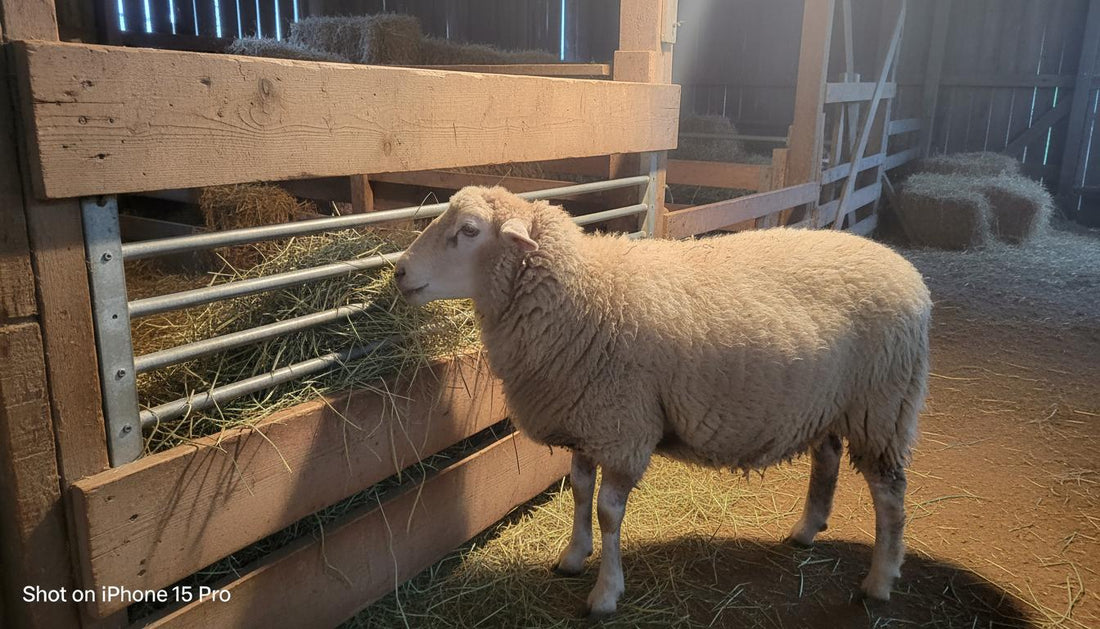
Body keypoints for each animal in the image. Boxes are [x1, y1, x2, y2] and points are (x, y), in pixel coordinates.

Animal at [394, 186, 931, 618]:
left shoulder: (623, 426)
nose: (398, 271)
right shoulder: (587, 421)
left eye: (468, 230)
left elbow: (608, 512)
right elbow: (580, 490)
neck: (581, 294)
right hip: (828, 401)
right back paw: (806, 528)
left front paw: (605, 593)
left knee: (890, 496)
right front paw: (573, 556)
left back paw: (879, 581)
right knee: (828, 456)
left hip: (884, 405)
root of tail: (909, 274)